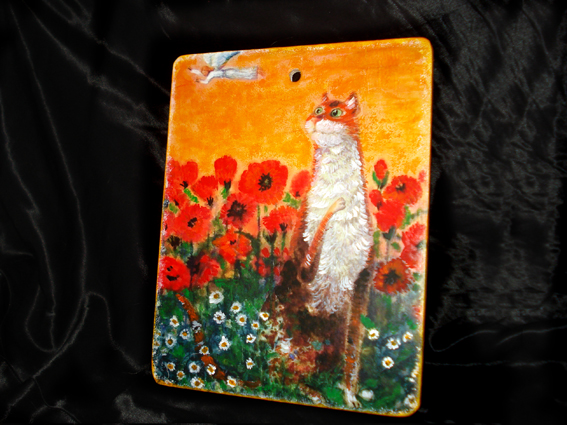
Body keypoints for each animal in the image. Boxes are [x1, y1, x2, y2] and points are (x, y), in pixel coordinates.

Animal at [272, 92, 375, 408]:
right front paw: (333, 206)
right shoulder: (304, 265)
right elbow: (317, 233)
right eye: (318, 109)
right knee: (279, 372)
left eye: (336, 112)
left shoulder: (362, 280)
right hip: (292, 335)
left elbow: (353, 352)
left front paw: (351, 396)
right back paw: (310, 393)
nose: (316, 119)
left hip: (331, 338)